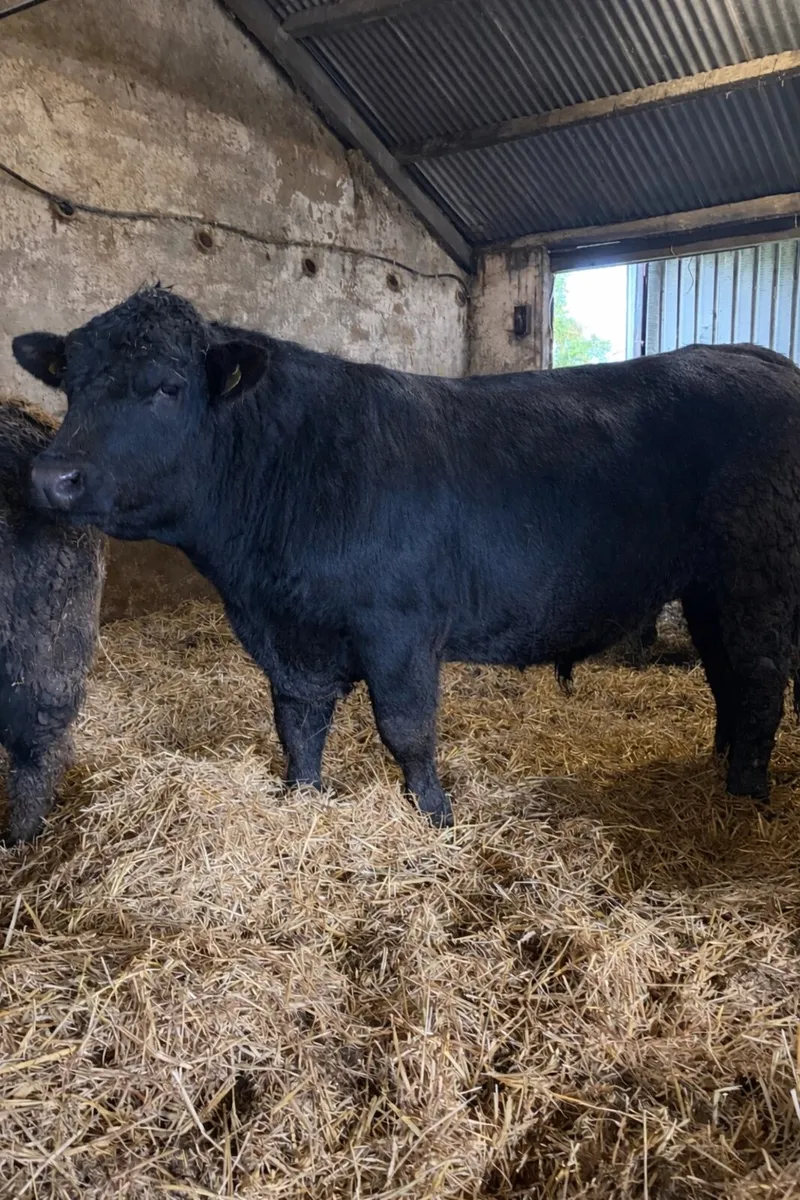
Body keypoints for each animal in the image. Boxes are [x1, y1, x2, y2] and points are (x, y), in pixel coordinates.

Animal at [12, 286, 800, 828]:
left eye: (169, 387)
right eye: (69, 382)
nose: (52, 477)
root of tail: (756, 358)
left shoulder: (400, 625)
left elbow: (408, 730)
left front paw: (435, 816)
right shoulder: (284, 634)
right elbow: (298, 722)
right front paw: (302, 798)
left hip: (757, 579)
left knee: (760, 682)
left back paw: (744, 800)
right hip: (706, 588)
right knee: (728, 677)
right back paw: (719, 766)